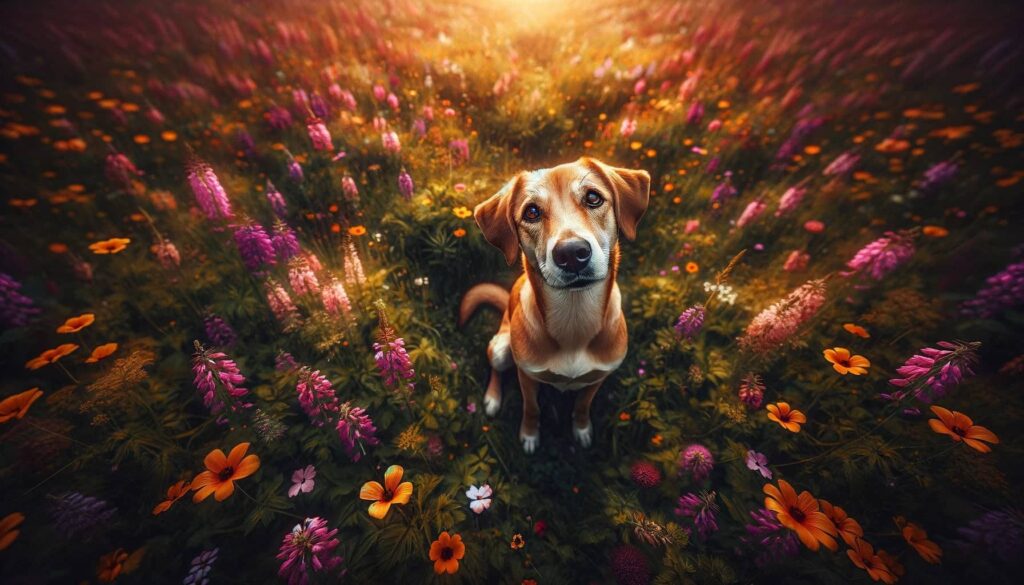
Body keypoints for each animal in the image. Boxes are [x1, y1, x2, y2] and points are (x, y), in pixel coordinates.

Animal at [462, 157, 651, 454]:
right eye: (531, 212)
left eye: (593, 198)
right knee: (495, 368)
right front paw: (529, 435)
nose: (572, 253)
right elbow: (532, 409)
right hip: (501, 348)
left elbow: (582, 406)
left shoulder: (598, 378)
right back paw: (492, 399)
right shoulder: (527, 376)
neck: (574, 318)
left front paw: (582, 430)